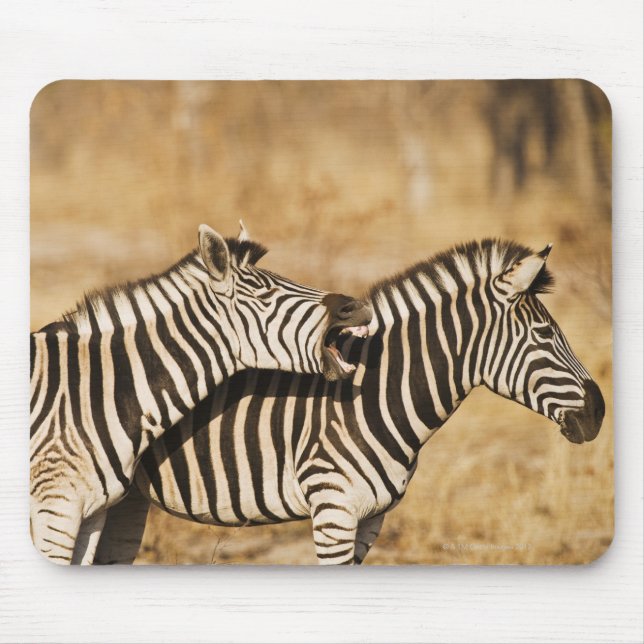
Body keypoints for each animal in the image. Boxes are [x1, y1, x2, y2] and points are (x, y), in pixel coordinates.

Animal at [92, 239, 605, 565]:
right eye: (544, 334)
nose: (599, 413)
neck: (373, 400)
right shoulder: (334, 510)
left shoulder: (371, 519)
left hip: (124, 502)